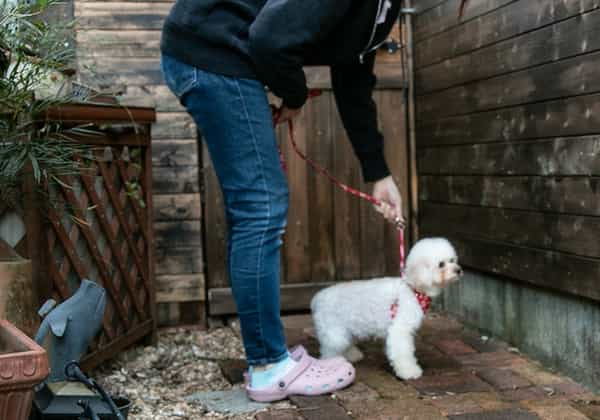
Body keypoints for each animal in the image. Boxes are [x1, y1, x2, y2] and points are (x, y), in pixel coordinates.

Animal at [312, 238, 462, 378]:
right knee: (328, 351)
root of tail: (318, 298)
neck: (413, 290)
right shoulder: (400, 330)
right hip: (334, 332)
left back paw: (351, 355)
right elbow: (403, 353)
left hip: (345, 329)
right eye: (441, 264)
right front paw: (409, 371)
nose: (459, 270)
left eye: (452, 260)